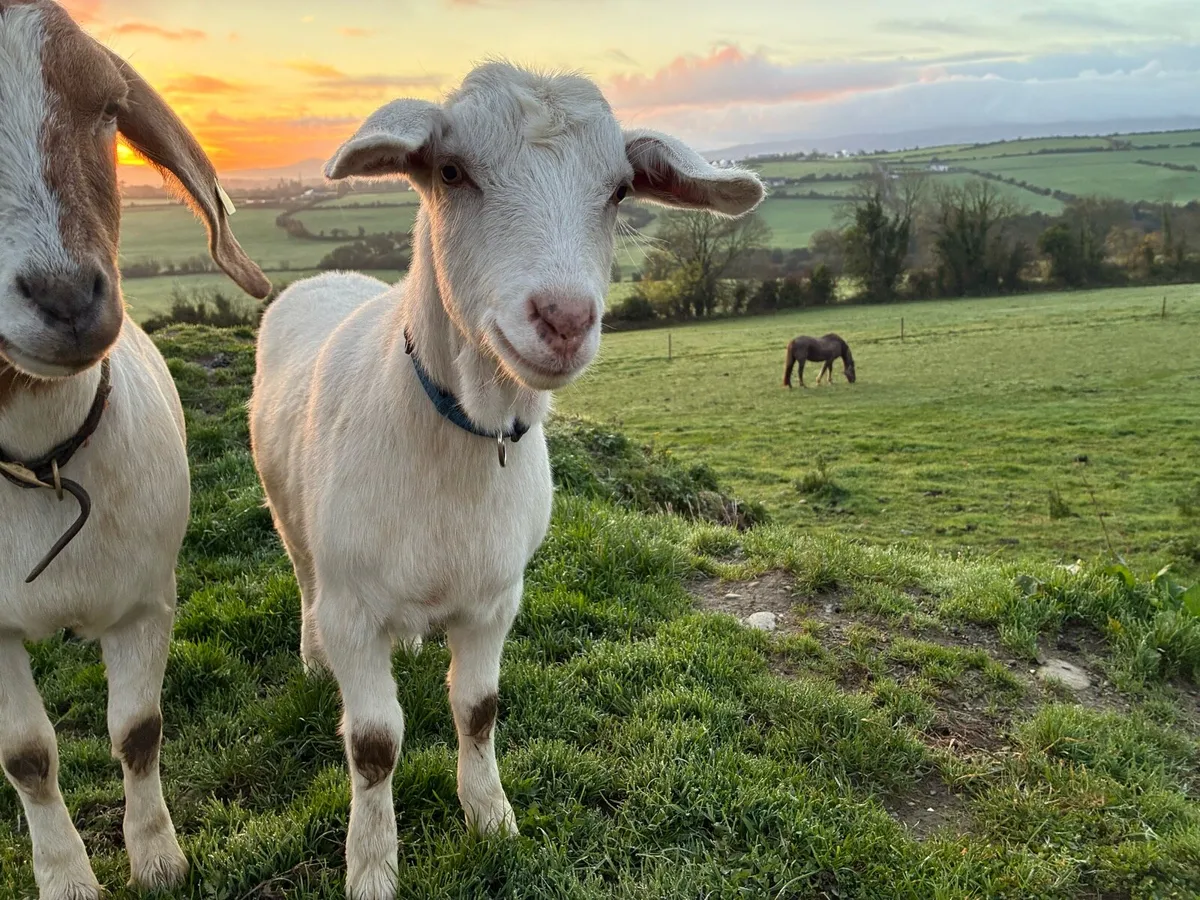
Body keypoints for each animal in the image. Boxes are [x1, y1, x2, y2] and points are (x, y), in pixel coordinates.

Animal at [0, 3, 270, 897]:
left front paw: (156, 856)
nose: (66, 297)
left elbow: (138, 730)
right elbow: (29, 757)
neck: (44, 466)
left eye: (110, 107)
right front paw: (66, 876)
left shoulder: (146, 601)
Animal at [248, 61, 763, 899]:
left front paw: (491, 818)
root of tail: (330, 277)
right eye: (452, 172)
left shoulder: (496, 597)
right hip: (287, 511)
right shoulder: (355, 609)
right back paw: (310, 654)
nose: (563, 318)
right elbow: (374, 745)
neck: (462, 439)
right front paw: (372, 864)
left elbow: (480, 708)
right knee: (301, 574)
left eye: (621, 189)